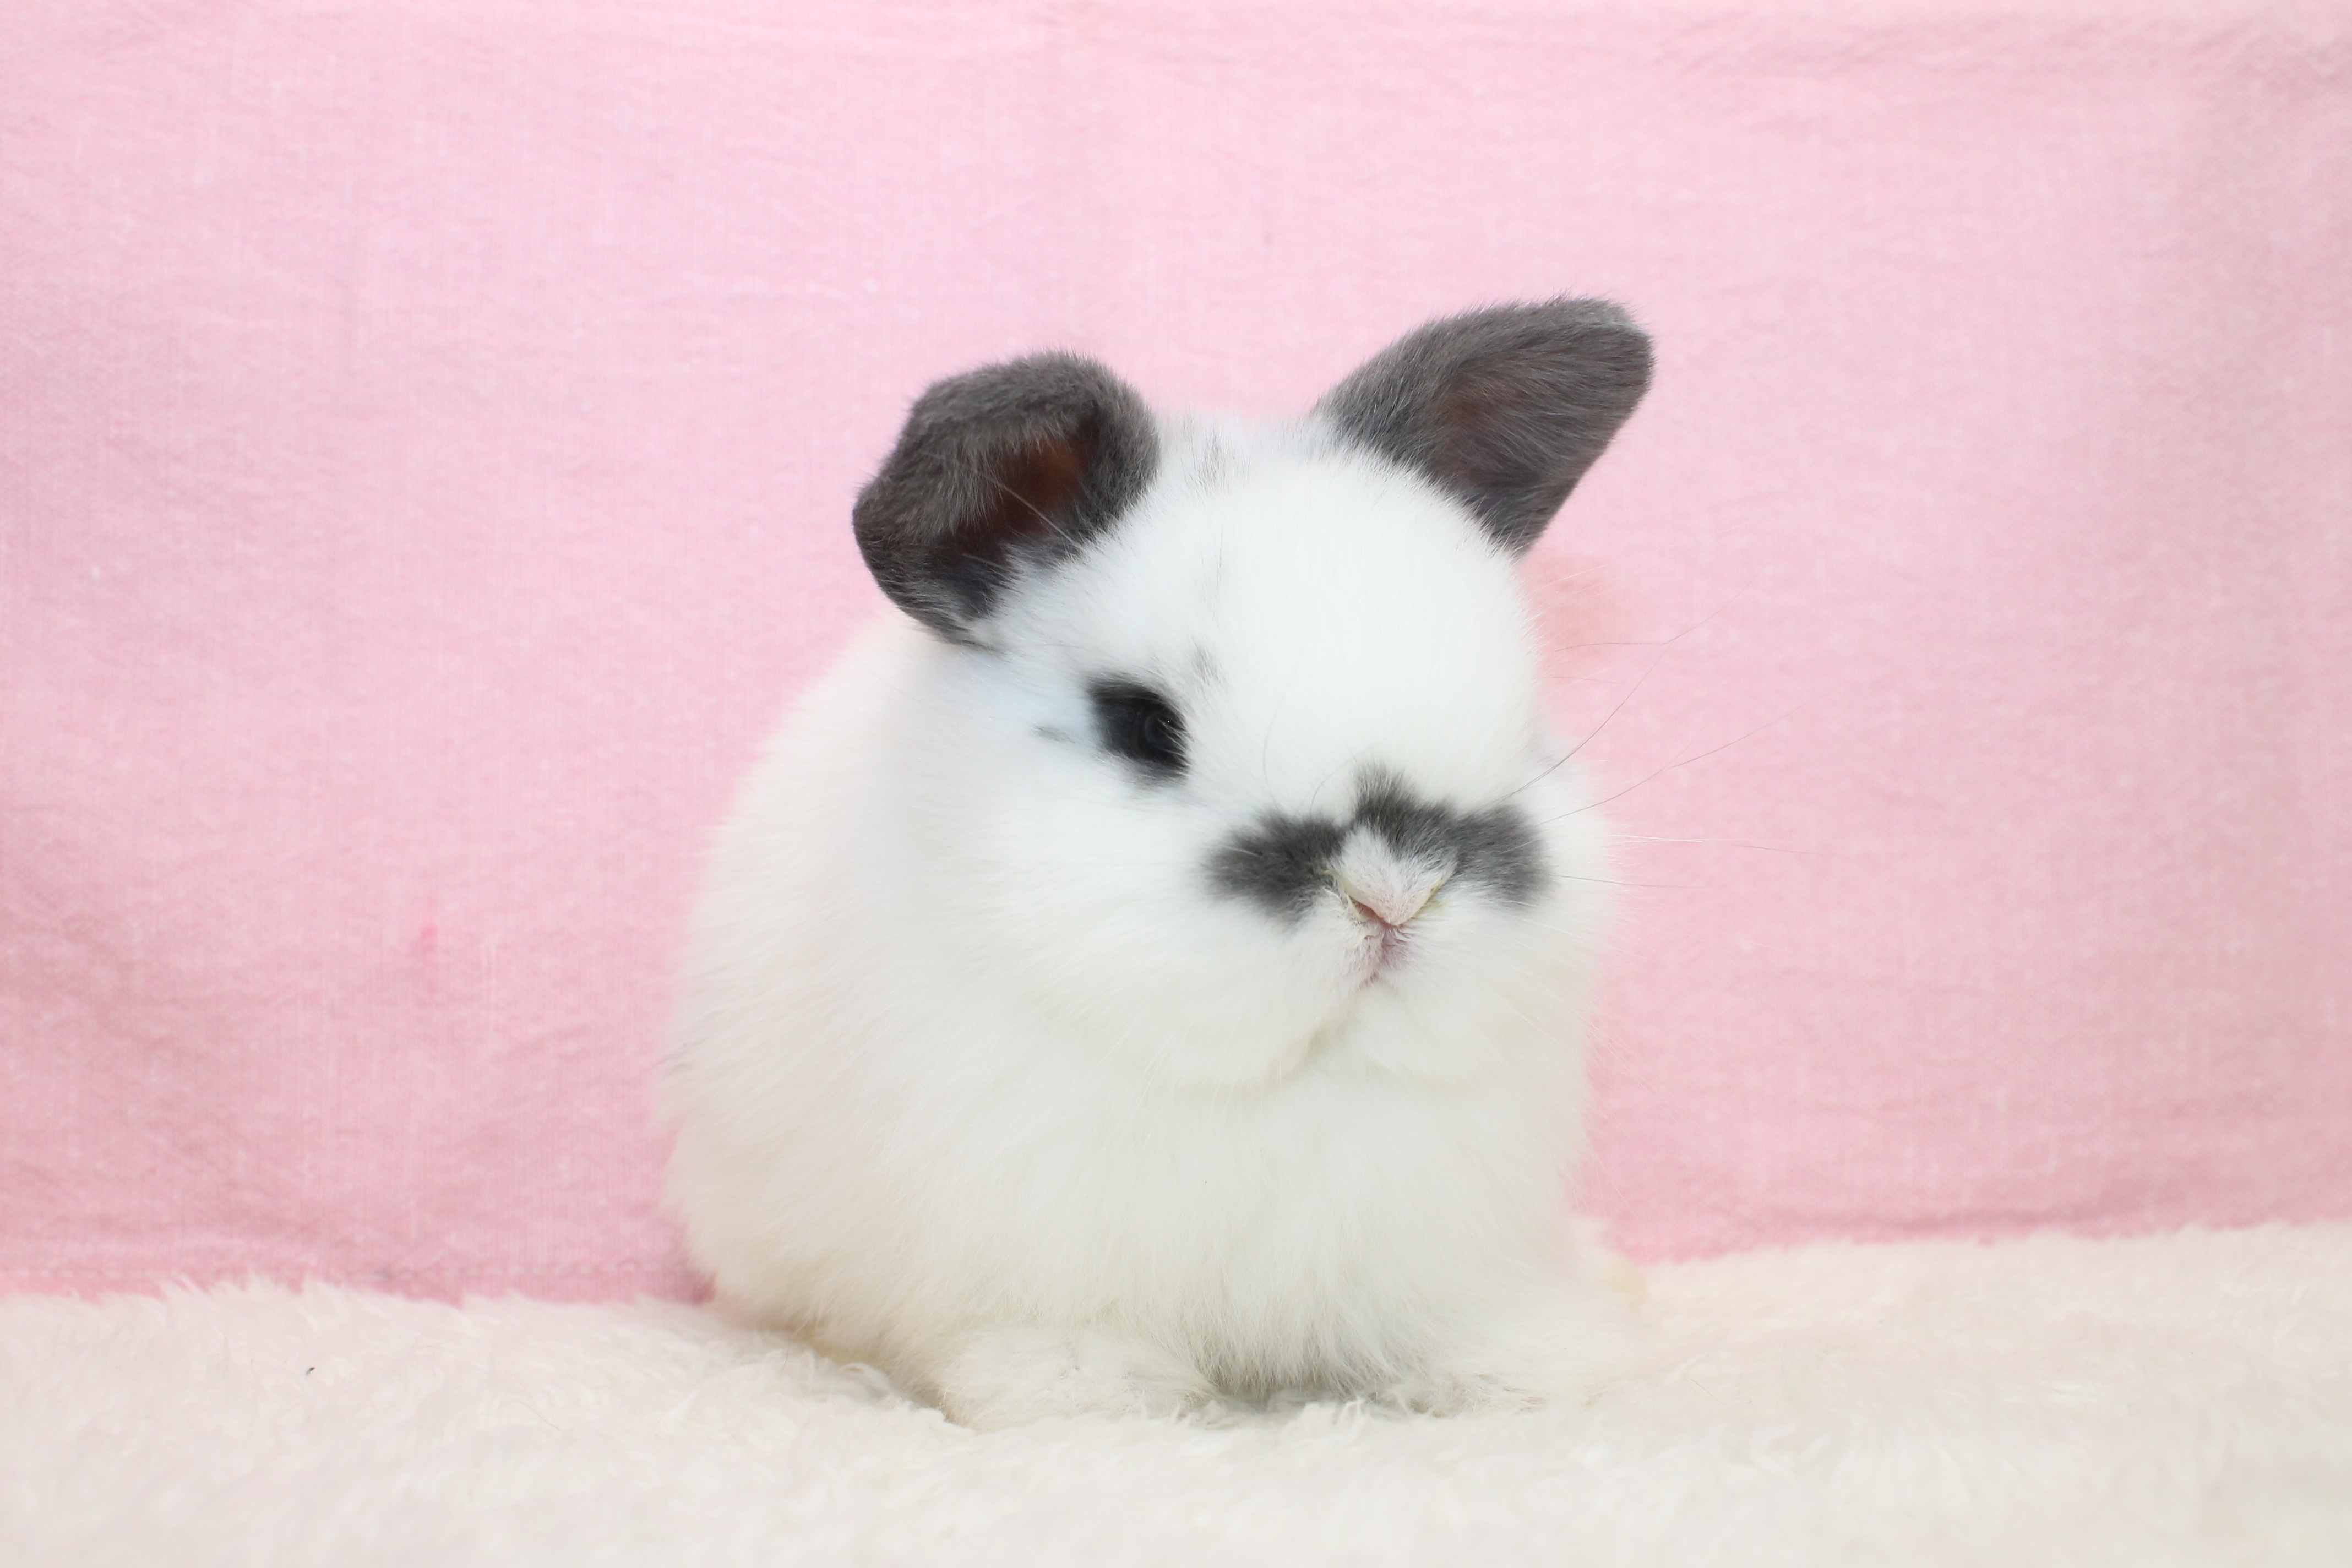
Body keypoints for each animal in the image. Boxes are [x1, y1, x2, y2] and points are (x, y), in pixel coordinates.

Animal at [663, 299, 1654, 1430]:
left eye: (1522, 715)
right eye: (1143, 726)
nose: (1393, 893)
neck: (1289, 1073)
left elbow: (1451, 1324)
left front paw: (1533, 1371)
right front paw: (1093, 1393)